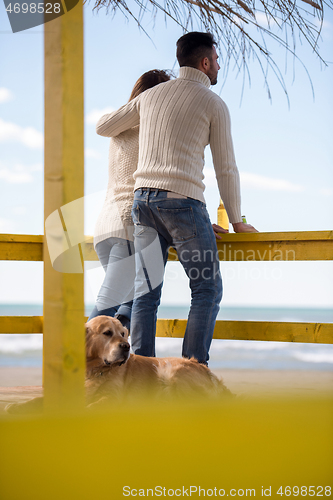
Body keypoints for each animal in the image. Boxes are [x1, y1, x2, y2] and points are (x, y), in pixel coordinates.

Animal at [7, 312, 231, 414]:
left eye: (123, 334)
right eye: (107, 333)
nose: (126, 346)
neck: (97, 370)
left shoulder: (112, 397)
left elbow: (95, 405)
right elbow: (37, 400)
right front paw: (17, 406)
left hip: (173, 372)